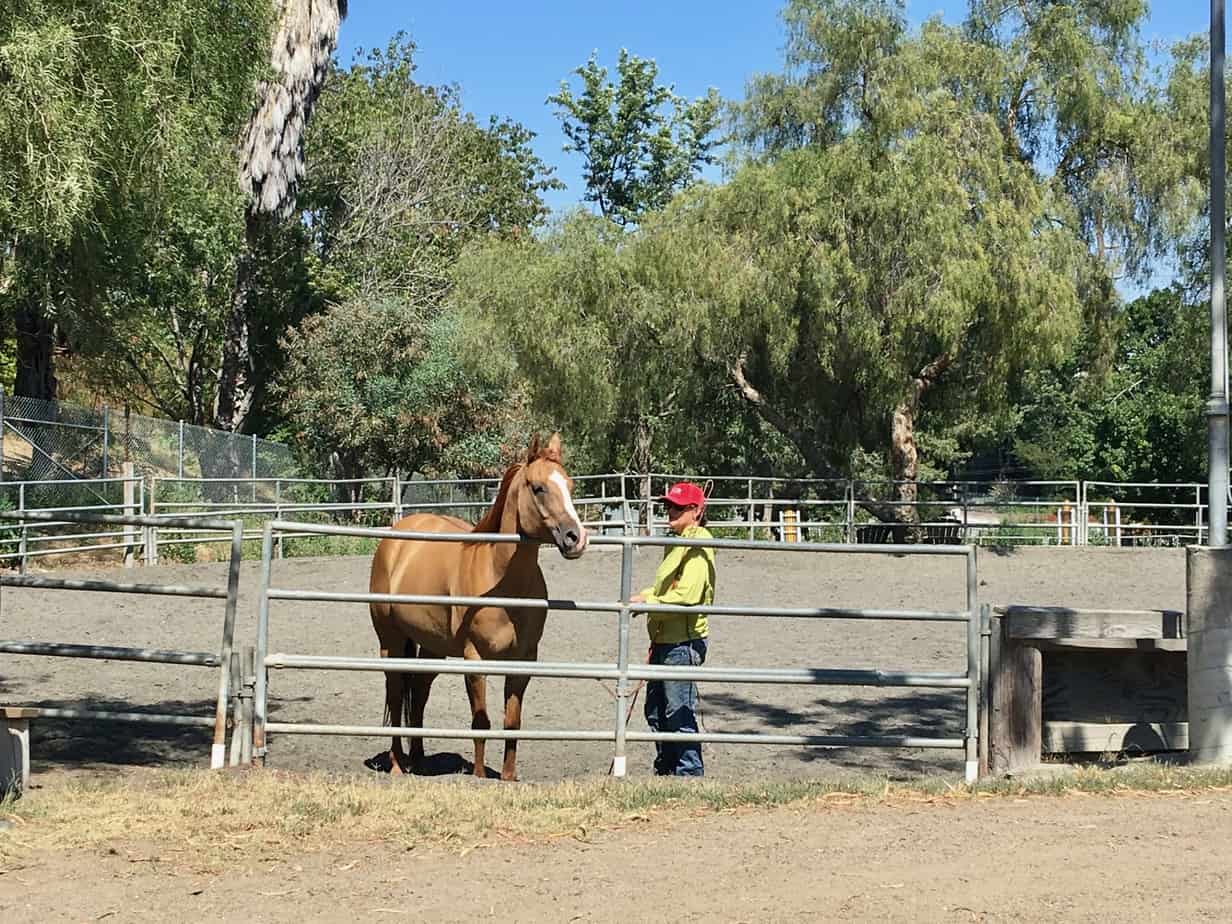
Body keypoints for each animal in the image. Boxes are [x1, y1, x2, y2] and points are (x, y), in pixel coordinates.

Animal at [367, 433, 588, 783]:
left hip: (432, 648)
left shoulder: (524, 661)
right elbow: (481, 722)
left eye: (569, 485)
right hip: (391, 643)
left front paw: (509, 777)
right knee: (396, 692)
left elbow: (512, 722)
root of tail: (396, 538)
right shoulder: (475, 660)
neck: (503, 582)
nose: (576, 538)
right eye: (539, 487)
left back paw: (419, 760)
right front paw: (481, 777)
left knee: (419, 693)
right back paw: (398, 764)